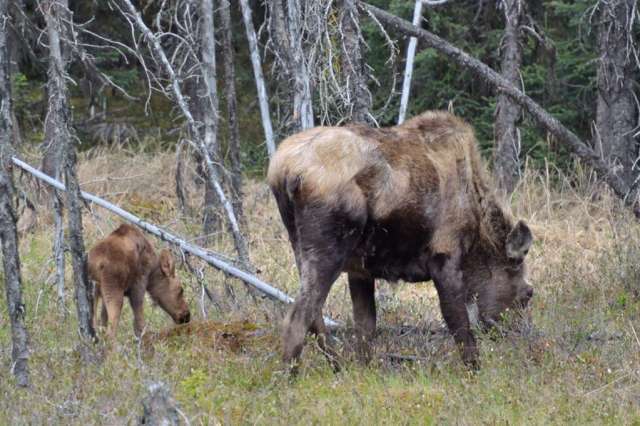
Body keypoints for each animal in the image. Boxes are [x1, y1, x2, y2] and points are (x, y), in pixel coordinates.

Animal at [267, 111, 534, 369]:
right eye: (528, 294)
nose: (515, 336)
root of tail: (285, 172)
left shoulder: (360, 270)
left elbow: (366, 327)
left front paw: (364, 371)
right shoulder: (445, 258)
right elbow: (459, 324)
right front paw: (474, 370)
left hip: (299, 245)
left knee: (314, 315)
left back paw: (336, 367)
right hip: (328, 250)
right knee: (297, 319)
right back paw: (289, 376)